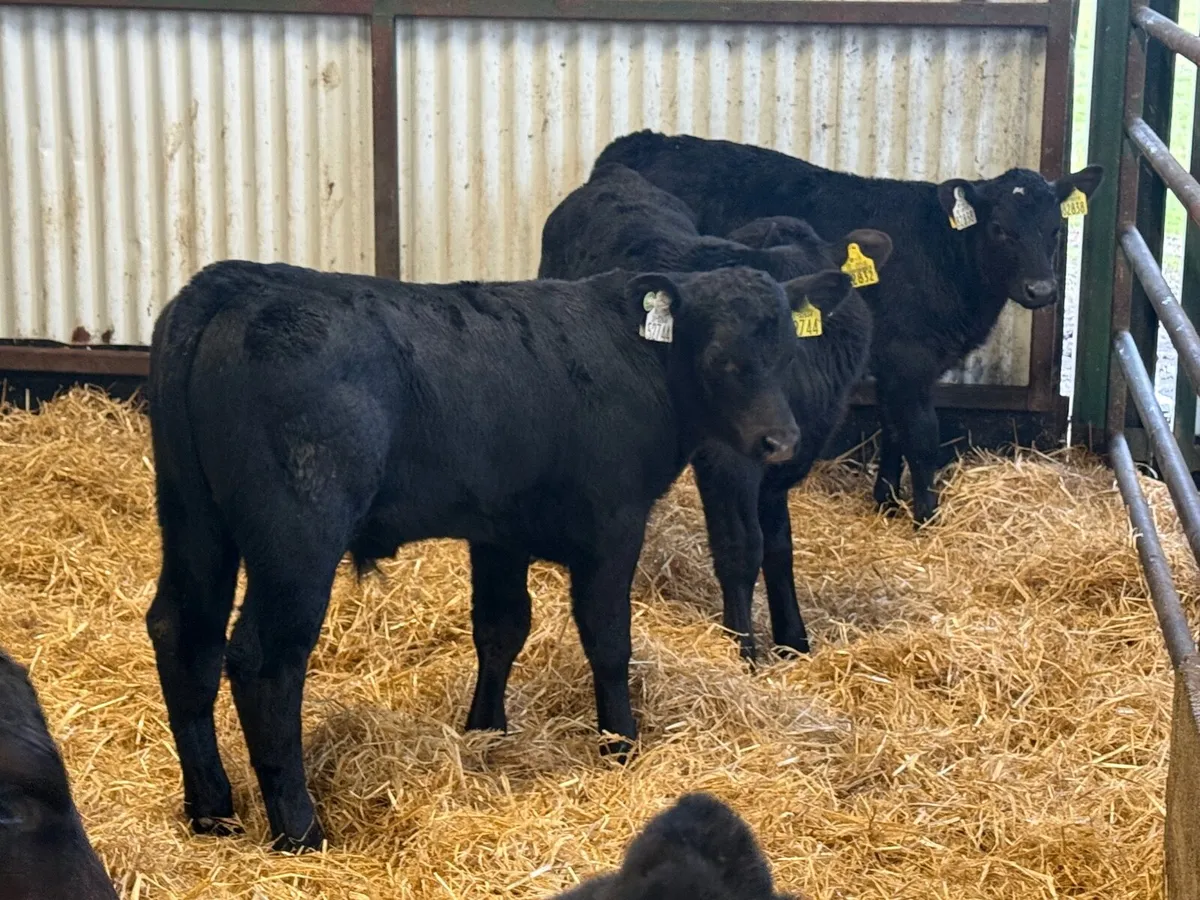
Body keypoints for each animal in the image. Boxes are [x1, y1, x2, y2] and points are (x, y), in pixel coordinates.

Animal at [146, 260, 818, 851]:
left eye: (788, 353)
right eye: (723, 359)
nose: (781, 441)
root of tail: (235, 283)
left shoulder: (500, 531)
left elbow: (500, 629)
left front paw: (486, 730)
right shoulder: (615, 524)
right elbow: (608, 641)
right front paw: (620, 744)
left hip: (193, 522)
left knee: (183, 634)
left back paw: (212, 810)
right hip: (296, 538)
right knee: (264, 660)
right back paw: (300, 831)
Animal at [539, 164, 892, 658]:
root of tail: (615, 175)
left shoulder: (785, 456)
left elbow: (779, 548)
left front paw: (794, 640)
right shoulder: (729, 460)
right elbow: (741, 548)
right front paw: (744, 649)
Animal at [596, 131, 1104, 524]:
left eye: (1056, 228)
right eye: (999, 228)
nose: (1041, 290)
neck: (944, 252)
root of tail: (637, 143)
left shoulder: (900, 366)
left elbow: (893, 428)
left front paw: (887, 501)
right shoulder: (910, 360)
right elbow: (922, 434)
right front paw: (927, 515)